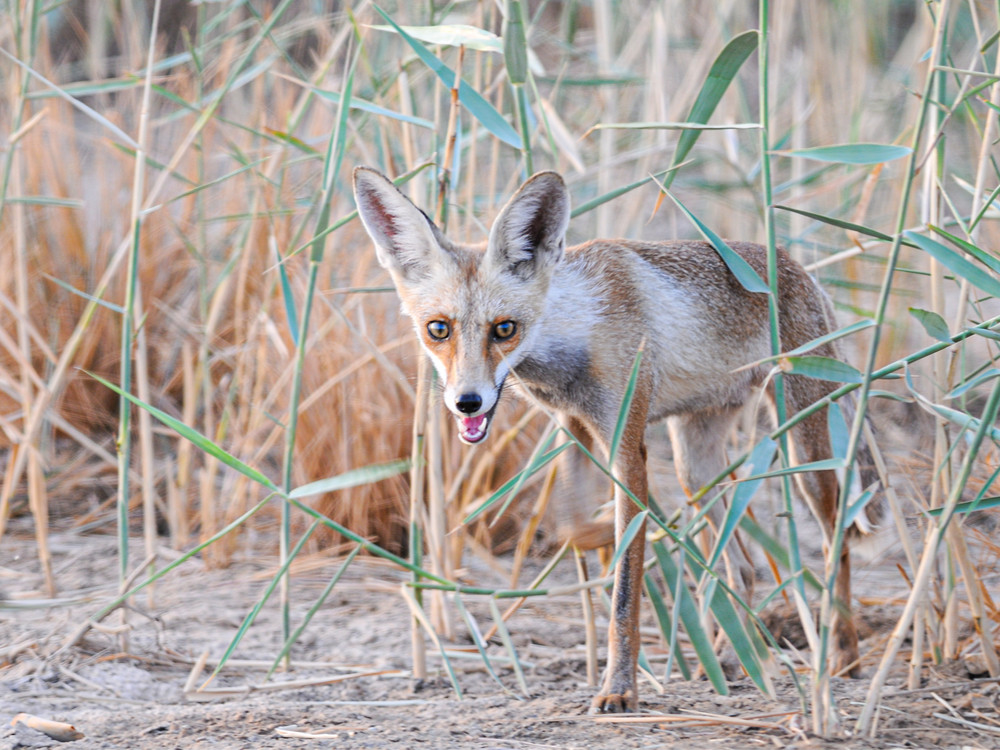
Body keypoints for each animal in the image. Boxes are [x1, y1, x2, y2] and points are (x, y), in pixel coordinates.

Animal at [350, 167, 876, 712]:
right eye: (438, 329)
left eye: (504, 329)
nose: (467, 402)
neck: (579, 331)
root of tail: (801, 269)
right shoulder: (576, 429)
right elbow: (572, 526)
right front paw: (616, 532)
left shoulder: (627, 445)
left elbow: (625, 588)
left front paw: (619, 689)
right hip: (695, 463)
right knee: (743, 565)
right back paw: (730, 655)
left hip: (805, 446)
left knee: (836, 543)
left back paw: (842, 657)